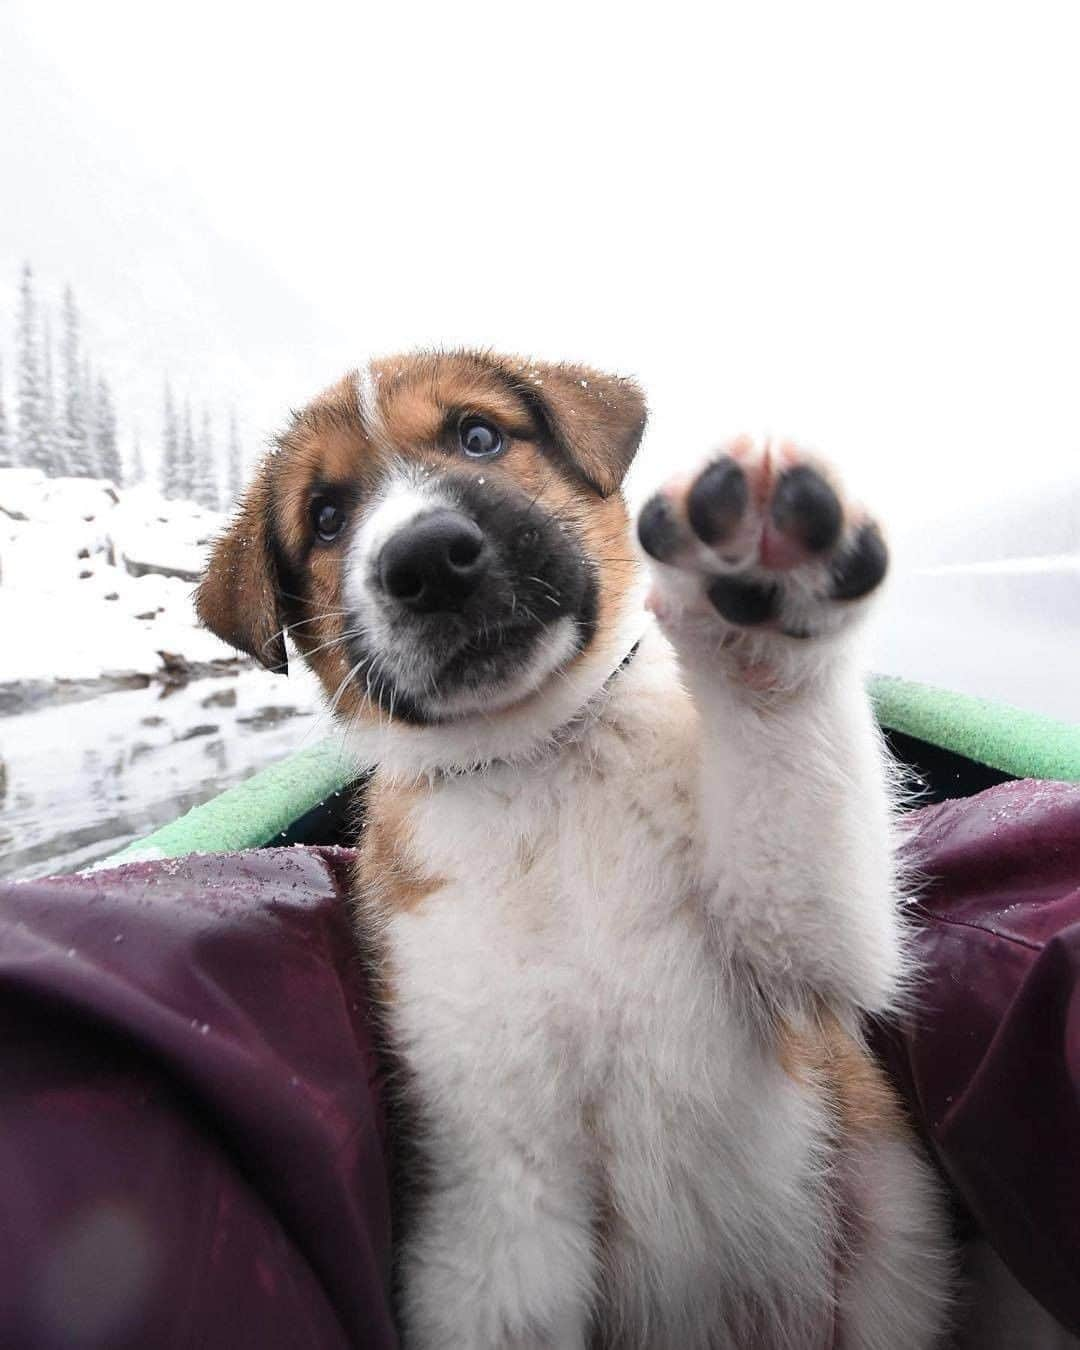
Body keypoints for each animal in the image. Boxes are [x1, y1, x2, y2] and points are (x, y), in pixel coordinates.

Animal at [198, 353, 950, 1344]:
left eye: (479, 435)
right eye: (325, 516)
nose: (427, 560)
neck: (547, 763)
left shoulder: (809, 936)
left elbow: (787, 765)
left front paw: (763, 591)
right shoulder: (498, 1193)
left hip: (894, 1223)